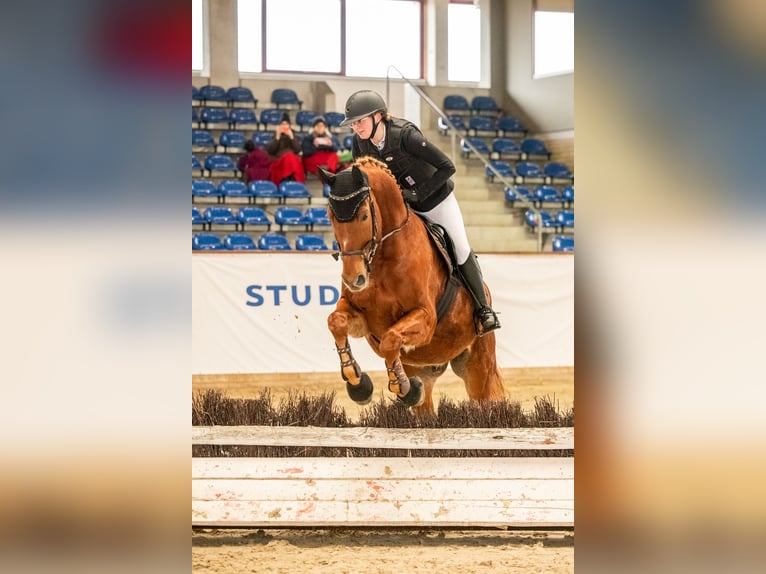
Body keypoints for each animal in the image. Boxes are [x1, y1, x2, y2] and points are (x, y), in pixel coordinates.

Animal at [316, 158, 508, 416]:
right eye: (330, 216)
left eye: (365, 216)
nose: (353, 278)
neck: (383, 256)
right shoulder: (361, 318)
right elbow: (336, 322)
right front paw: (358, 385)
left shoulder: (425, 318)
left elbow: (391, 338)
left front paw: (402, 388)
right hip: (425, 369)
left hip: (478, 365)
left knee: (484, 397)